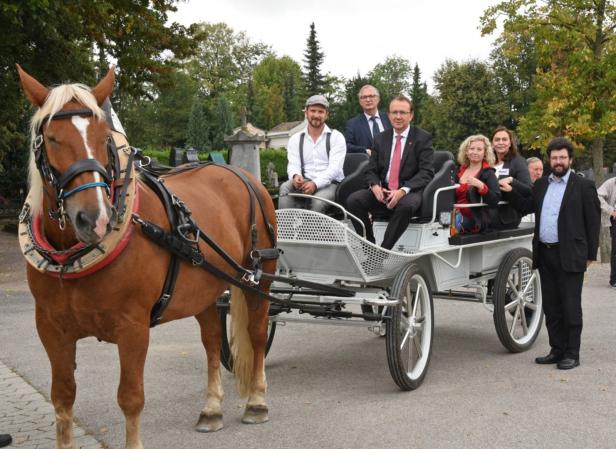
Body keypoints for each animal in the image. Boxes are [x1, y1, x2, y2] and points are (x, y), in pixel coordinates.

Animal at [16, 65, 276, 448]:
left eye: (104, 138)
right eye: (50, 138)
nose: (94, 218)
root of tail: (241, 174)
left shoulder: (133, 327)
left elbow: (130, 398)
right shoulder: (50, 328)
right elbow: (62, 401)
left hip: (258, 279)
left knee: (257, 335)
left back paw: (257, 401)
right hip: (206, 289)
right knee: (212, 342)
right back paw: (211, 409)